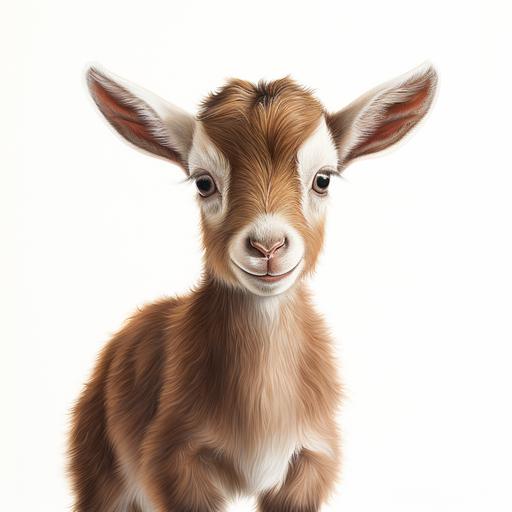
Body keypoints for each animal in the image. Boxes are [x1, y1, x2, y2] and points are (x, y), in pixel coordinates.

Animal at [67, 64, 436, 512]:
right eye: (203, 182)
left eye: (323, 179)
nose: (267, 246)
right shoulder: (174, 463)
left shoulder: (310, 462)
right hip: (101, 471)